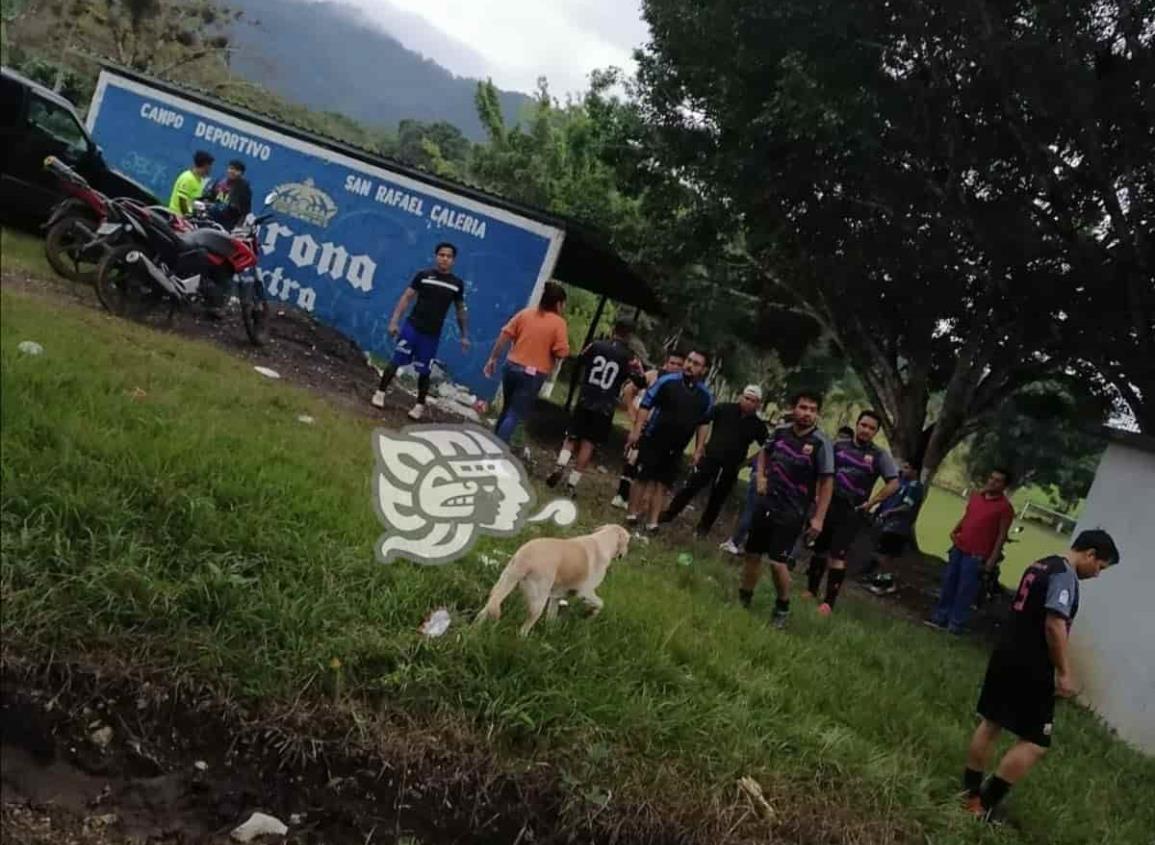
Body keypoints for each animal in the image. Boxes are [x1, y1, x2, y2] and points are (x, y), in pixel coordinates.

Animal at [471, 524, 632, 637]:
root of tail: (525, 558)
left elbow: (552, 617)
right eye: (628, 542)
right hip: (538, 601)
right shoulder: (585, 592)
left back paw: (473, 631)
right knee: (524, 628)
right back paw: (524, 641)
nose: (625, 554)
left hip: (503, 584)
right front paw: (591, 615)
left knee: (486, 610)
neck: (604, 540)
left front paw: (551, 632)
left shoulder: (556, 596)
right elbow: (600, 603)